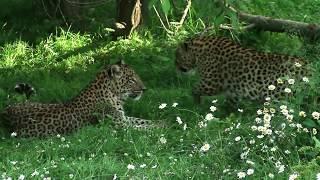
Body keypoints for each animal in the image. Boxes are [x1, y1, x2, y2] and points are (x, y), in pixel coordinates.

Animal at [0, 59, 159, 137]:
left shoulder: (124, 119)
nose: (144, 89)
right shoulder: (120, 126)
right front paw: (160, 130)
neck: (114, 95)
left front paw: (162, 123)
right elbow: (142, 128)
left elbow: (143, 121)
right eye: (131, 80)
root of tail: (6, 111)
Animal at [175, 35, 310, 102]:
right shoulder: (233, 90)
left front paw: (195, 102)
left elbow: (194, 89)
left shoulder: (210, 83)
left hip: (276, 94)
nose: (175, 66)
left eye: (177, 57)